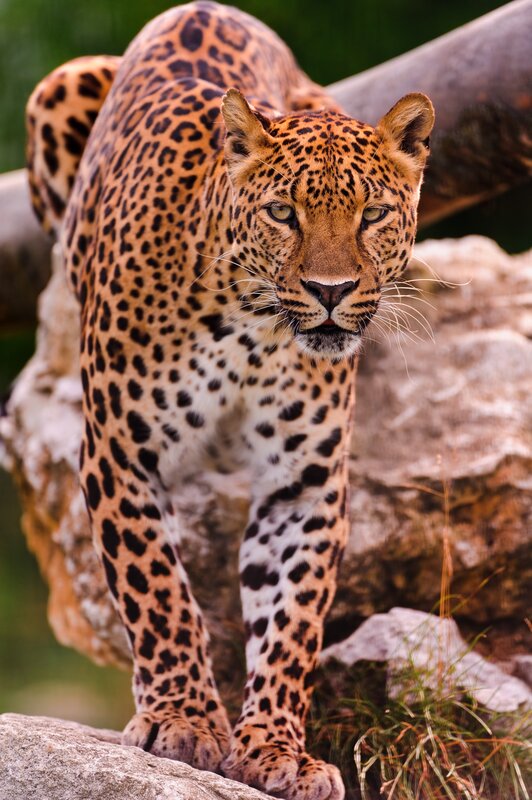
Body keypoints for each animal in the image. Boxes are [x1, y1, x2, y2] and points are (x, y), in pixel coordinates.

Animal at [26, 3, 434, 798]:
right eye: (283, 212)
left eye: (373, 215)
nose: (332, 292)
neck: (253, 328)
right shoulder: (121, 453)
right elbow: (157, 590)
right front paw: (182, 720)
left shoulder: (304, 485)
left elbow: (292, 621)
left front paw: (276, 749)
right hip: (57, 93)